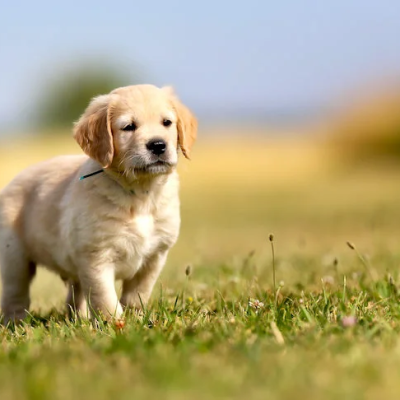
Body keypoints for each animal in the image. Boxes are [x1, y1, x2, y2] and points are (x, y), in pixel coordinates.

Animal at [0, 83, 197, 324]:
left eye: (167, 122)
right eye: (129, 127)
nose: (158, 145)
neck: (139, 193)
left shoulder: (155, 255)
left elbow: (138, 293)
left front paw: (136, 319)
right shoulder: (95, 256)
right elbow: (105, 297)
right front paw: (115, 324)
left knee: (75, 295)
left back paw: (79, 319)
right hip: (14, 256)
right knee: (15, 294)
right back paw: (15, 323)